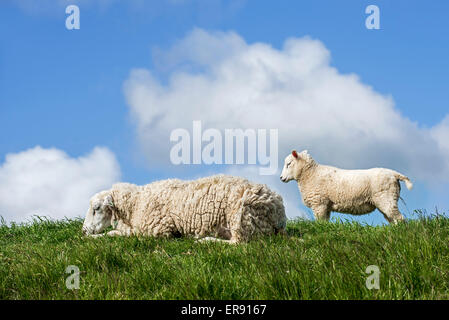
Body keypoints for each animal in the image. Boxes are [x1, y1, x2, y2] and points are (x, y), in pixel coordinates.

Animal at [82, 175, 286, 242]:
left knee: (240, 243)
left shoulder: (156, 231)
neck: (136, 202)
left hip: (242, 216)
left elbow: (112, 234)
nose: (83, 230)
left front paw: (91, 238)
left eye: (96, 208)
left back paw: (205, 241)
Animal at [280, 149, 412, 222]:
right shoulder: (326, 206)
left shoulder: (319, 204)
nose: (281, 178)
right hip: (385, 200)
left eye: (289, 164)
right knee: (392, 218)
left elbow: (320, 222)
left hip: (386, 197)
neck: (310, 174)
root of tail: (394, 174)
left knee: (399, 218)